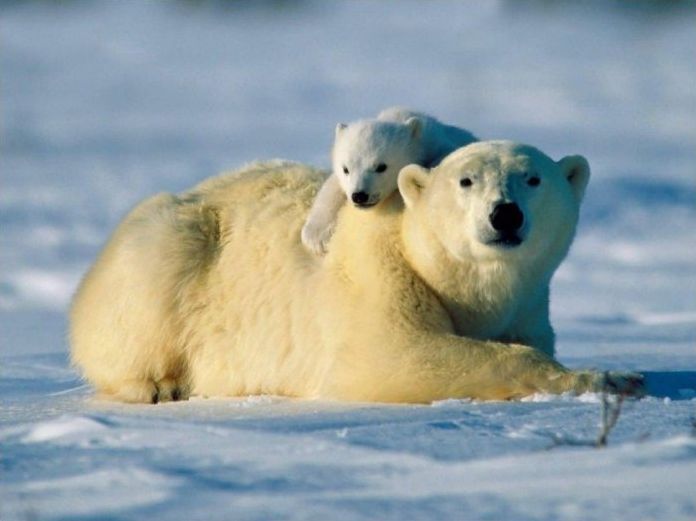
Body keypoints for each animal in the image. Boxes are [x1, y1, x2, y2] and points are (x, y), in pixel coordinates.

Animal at [69, 141, 640, 402]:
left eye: (534, 178)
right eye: (467, 181)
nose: (505, 214)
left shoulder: (528, 304)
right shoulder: (379, 275)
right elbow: (397, 353)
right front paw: (614, 376)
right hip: (171, 244)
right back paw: (158, 385)